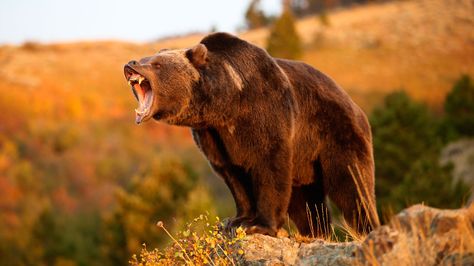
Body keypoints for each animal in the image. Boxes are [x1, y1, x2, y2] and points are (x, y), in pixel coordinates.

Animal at [122, 32, 378, 236]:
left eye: (156, 64)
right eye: (145, 58)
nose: (131, 64)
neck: (227, 103)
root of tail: (355, 105)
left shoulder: (266, 113)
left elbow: (269, 166)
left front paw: (260, 225)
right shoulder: (213, 136)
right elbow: (233, 175)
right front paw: (236, 220)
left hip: (336, 134)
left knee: (353, 185)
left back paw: (367, 228)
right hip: (305, 164)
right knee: (306, 204)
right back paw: (316, 232)